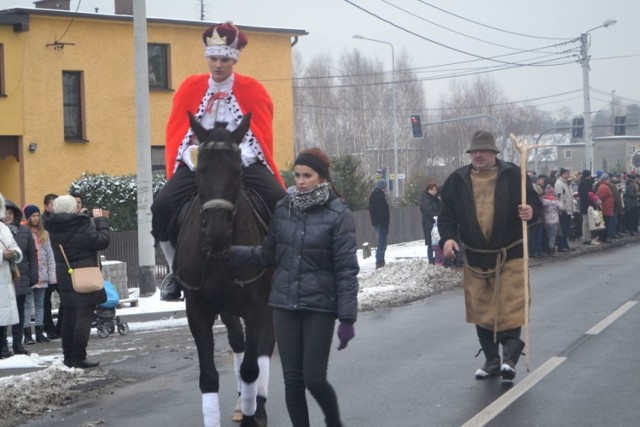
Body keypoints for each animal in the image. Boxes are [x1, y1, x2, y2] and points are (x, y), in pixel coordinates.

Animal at [175, 113, 276, 427]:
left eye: (238, 171)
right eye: (200, 171)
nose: (216, 236)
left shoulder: (257, 307)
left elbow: (251, 368)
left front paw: (253, 415)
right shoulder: (198, 310)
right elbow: (209, 376)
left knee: (263, 348)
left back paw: (257, 404)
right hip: (228, 309)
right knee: (238, 342)